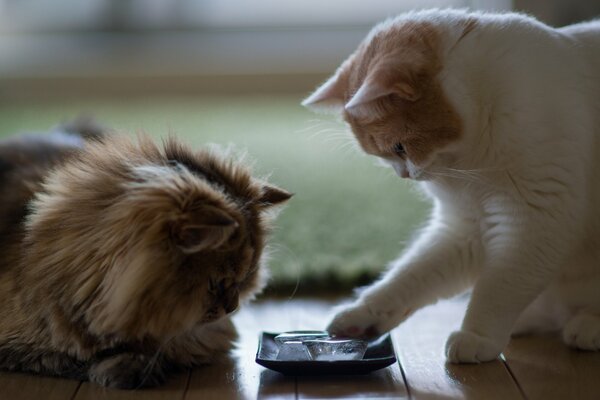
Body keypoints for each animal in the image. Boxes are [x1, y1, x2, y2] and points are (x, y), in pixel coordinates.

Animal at [0, 121, 290, 388]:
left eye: (244, 281)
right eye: (216, 284)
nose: (232, 307)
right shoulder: (19, 346)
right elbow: (68, 358)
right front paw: (129, 367)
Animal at [304, 8, 600, 362]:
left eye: (399, 148)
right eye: (384, 156)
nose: (404, 176)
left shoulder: (534, 221)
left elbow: (499, 287)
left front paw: (477, 336)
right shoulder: (463, 229)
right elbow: (408, 278)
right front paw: (361, 316)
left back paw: (587, 326)